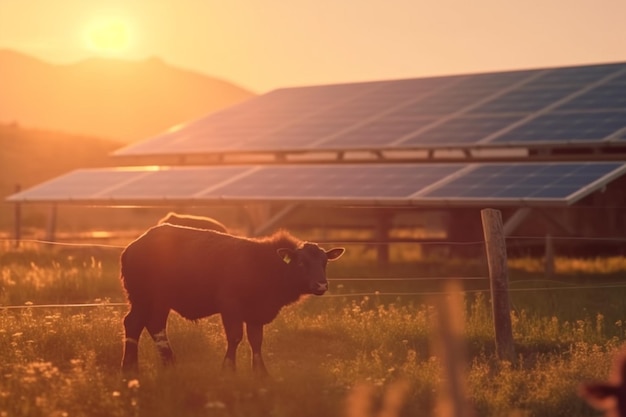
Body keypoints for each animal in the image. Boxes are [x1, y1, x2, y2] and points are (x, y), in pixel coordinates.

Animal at [119, 224, 344, 376]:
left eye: (324, 262)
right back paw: (133, 367)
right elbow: (235, 337)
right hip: (145, 298)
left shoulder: (256, 315)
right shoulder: (230, 308)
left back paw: (159, 365)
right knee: (139, 324)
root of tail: (132, 247)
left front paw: (260, 373)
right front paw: (228, 369)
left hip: (155, 302)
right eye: (301, 263)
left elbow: (256, 341)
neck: (264, 265)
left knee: (149, 325)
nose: (321, 285)